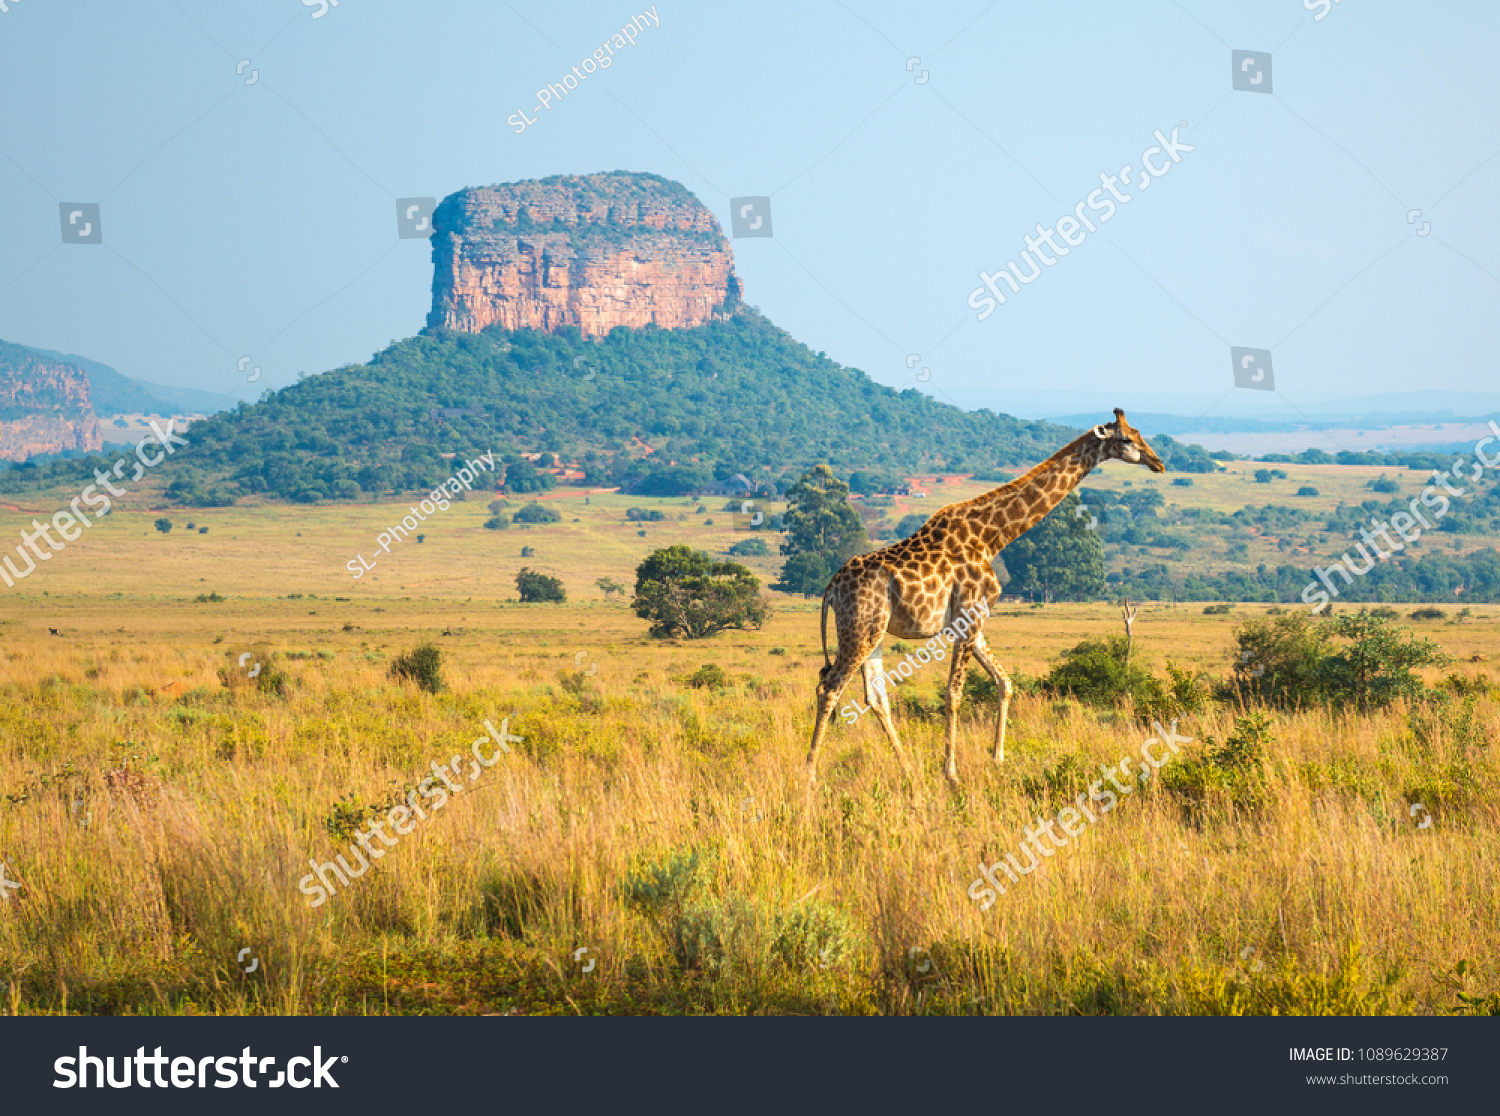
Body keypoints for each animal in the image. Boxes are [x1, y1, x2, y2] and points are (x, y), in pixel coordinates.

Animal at [804, 408, 1164, 786]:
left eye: (1139, 433)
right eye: (1126, 438)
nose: (1158, 462)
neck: (992, 537)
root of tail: (831, 587)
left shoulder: (973, 622)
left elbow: (1004, 683)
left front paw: (997, 758)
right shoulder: (968, 617)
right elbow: (954, 693)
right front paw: (951, 772)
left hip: (874, 632)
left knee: (875, 697)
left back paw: (908, 770)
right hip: (859, 629)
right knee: (829, 688)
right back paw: (810, 773)